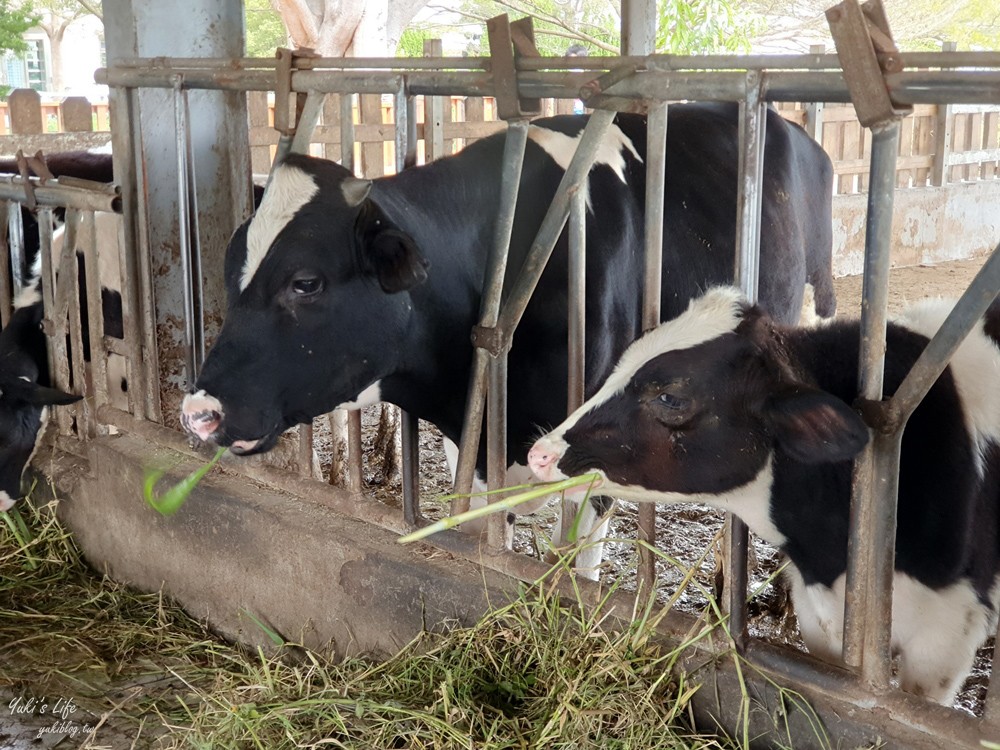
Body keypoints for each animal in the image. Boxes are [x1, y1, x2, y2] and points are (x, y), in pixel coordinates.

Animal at [182, 101, 836, 568]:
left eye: (305, 282)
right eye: (229, 270)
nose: (198, 412)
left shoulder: (602, 444)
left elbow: (578, 567)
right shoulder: (472, 443)